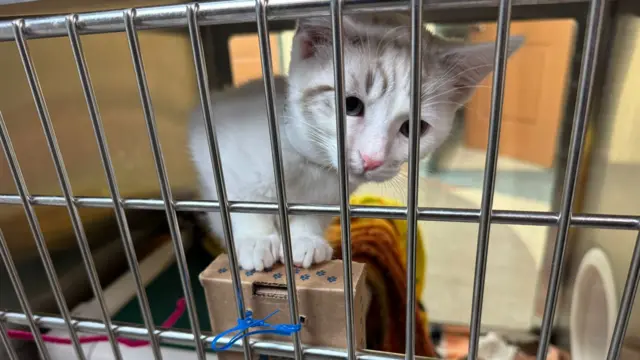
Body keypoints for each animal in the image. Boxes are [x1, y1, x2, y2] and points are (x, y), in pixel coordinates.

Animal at [188, 13, 524, 270]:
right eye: (351, 105)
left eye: (415, 127)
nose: (372, 159)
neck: (309, 169)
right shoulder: (215, 146)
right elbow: (238, 202)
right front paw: (256, 239)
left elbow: (313, 215)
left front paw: (306, 238)